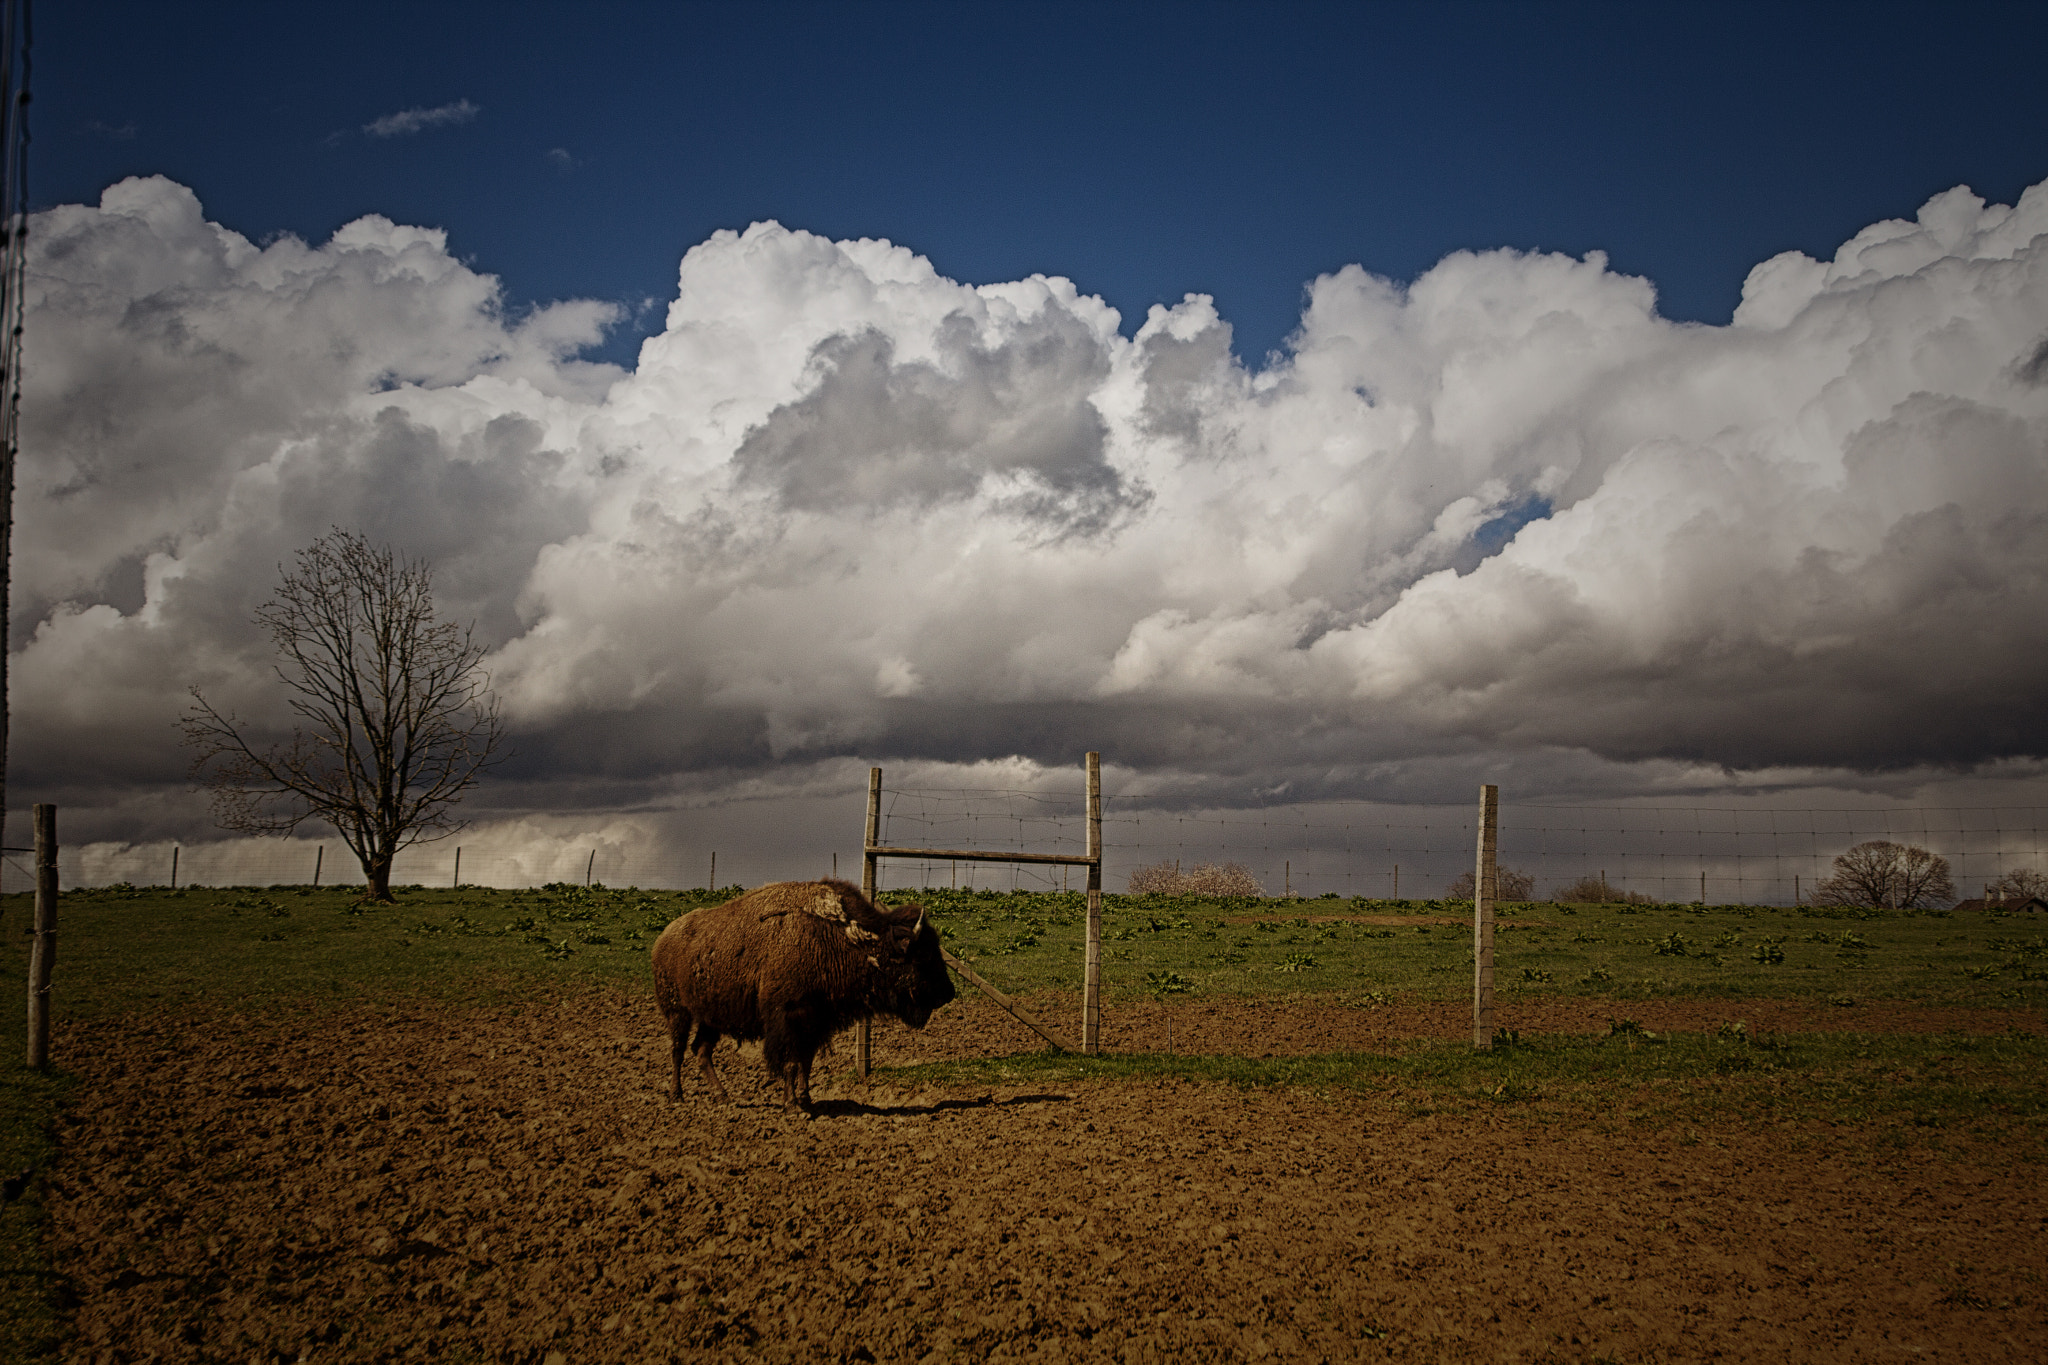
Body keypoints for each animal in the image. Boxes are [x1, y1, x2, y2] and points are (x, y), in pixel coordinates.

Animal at [651, 878, 956, 1112]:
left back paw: (723, 1096)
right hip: (678, 1011)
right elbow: (790, 1062)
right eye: (924, 955)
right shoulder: (789, 1020)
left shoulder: (816, 1023)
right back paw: (676, 1095)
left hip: (710, 1017)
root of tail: (664, 937)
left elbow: (805, 1062)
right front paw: (791, 1105)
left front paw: (806, 1100)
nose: (949, 993)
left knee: (701, 1050)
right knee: (678, 1049)